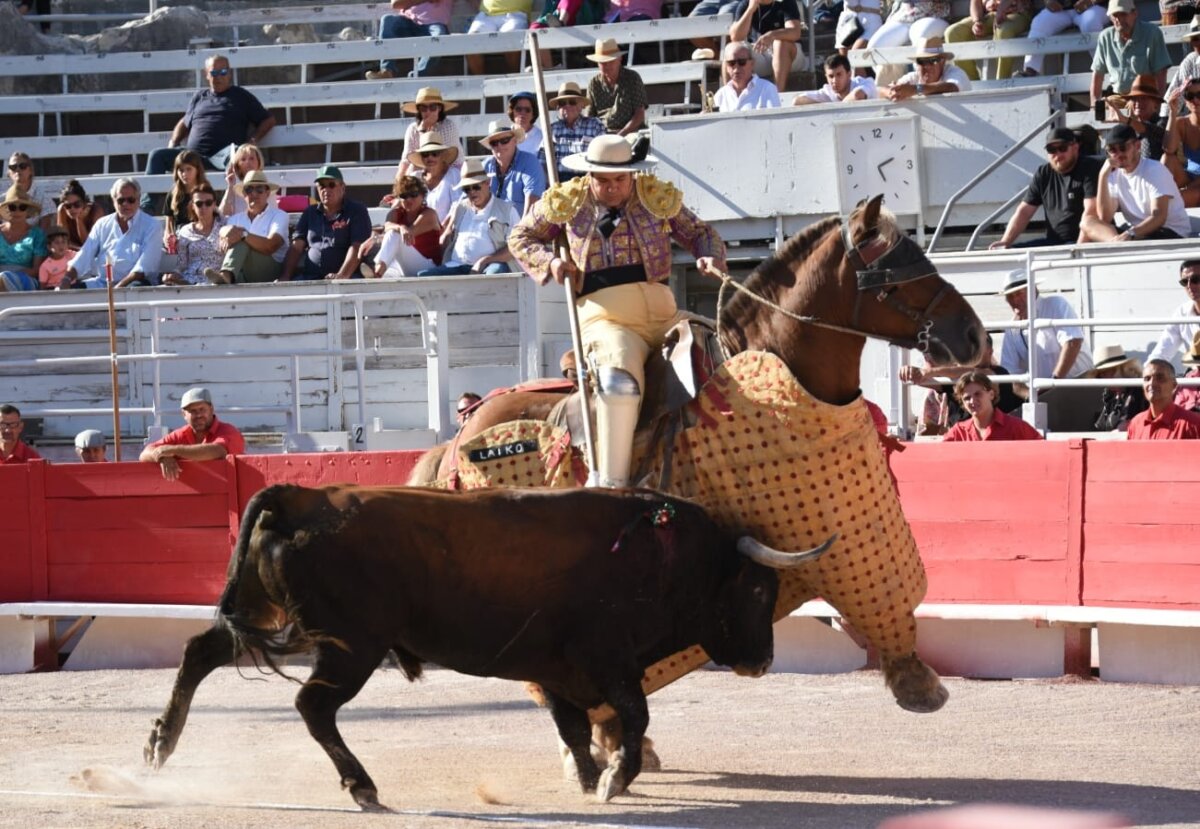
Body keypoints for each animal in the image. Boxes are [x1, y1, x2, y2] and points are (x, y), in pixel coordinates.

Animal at [143, 484, 833, 811]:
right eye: (758, 589)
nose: (762, 662)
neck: (665, 553)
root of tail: (300, 497)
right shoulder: (608, 661)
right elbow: (632, 717)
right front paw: (615, 780)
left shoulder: (558, 670)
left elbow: (573, 726)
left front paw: (589, 778)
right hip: (348, 645)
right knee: (313, 707)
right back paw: (362, 787)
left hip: (276, 619)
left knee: (201, 651)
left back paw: (158, 746)